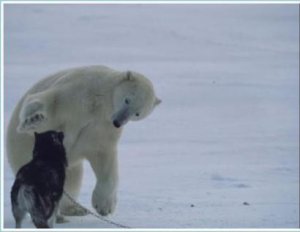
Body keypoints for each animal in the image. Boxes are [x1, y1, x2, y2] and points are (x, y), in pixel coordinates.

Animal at [5, 65, 161, 216]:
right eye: (127, 99)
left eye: (137, 113)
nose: (118, 121)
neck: (100, 104)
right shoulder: (77, 93)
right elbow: (49, 103)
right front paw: (33, 119)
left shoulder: (101, 128)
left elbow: (103, 158)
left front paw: (104, 207)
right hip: (22, 152)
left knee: (73, 180)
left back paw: (75, 209)